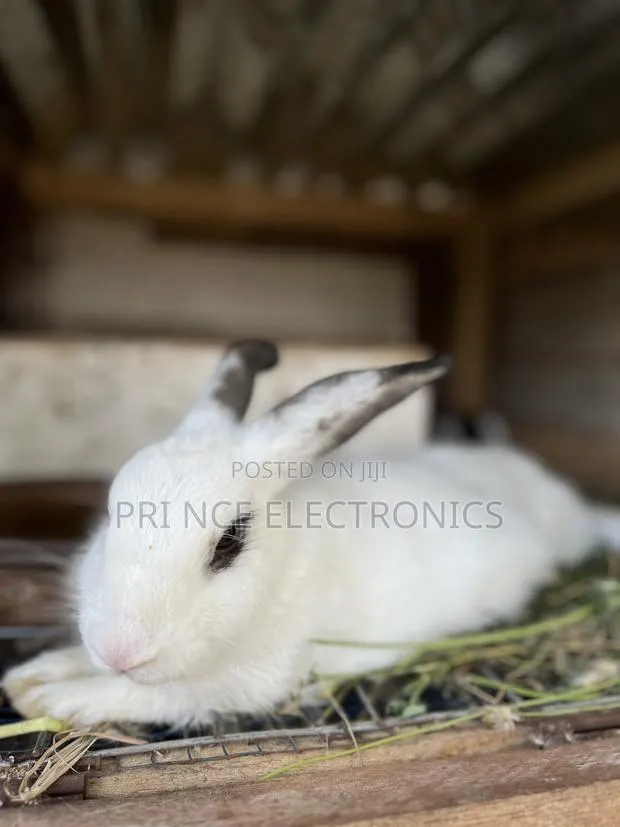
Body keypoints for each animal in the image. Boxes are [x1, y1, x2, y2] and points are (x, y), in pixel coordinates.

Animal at [3, 340, 620, 728]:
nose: (118, 648)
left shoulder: (248, 682)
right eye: (113, 512)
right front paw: (30, 677)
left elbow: (152, 695)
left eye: (229, 542)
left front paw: (54, 695)